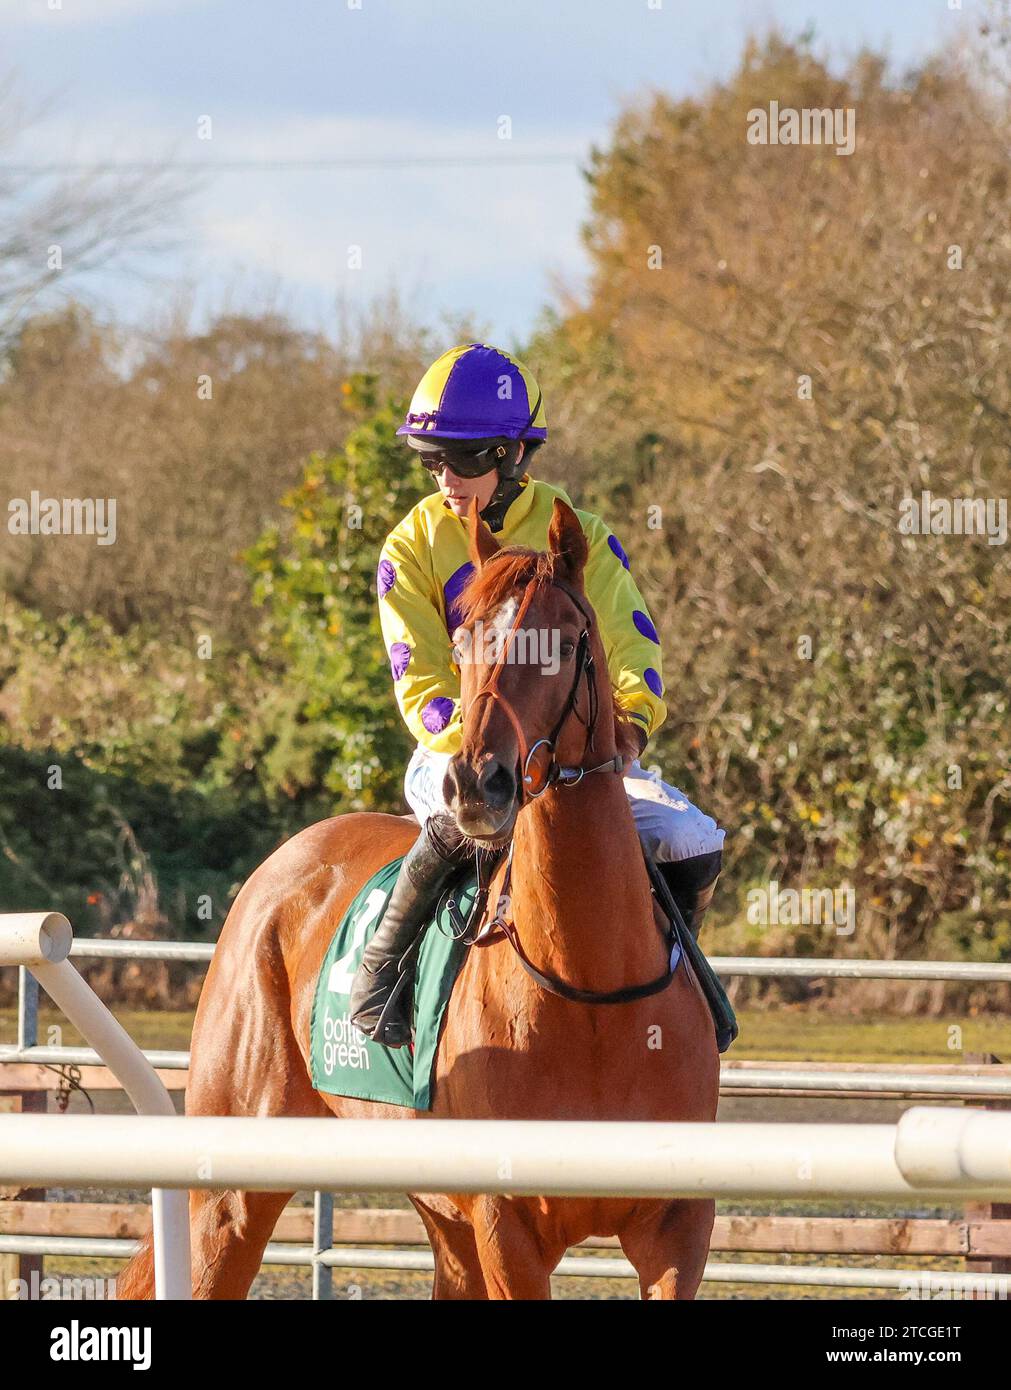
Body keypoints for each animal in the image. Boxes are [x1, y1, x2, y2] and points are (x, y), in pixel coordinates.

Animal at [118, 503, 717, 1301]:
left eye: (563, 642)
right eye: (462, 641)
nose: (477, 784)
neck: (590, 991)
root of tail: (281, 864)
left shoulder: (677, 1227)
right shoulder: (507, 1227)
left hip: (441, 1219)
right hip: (231, 1191)